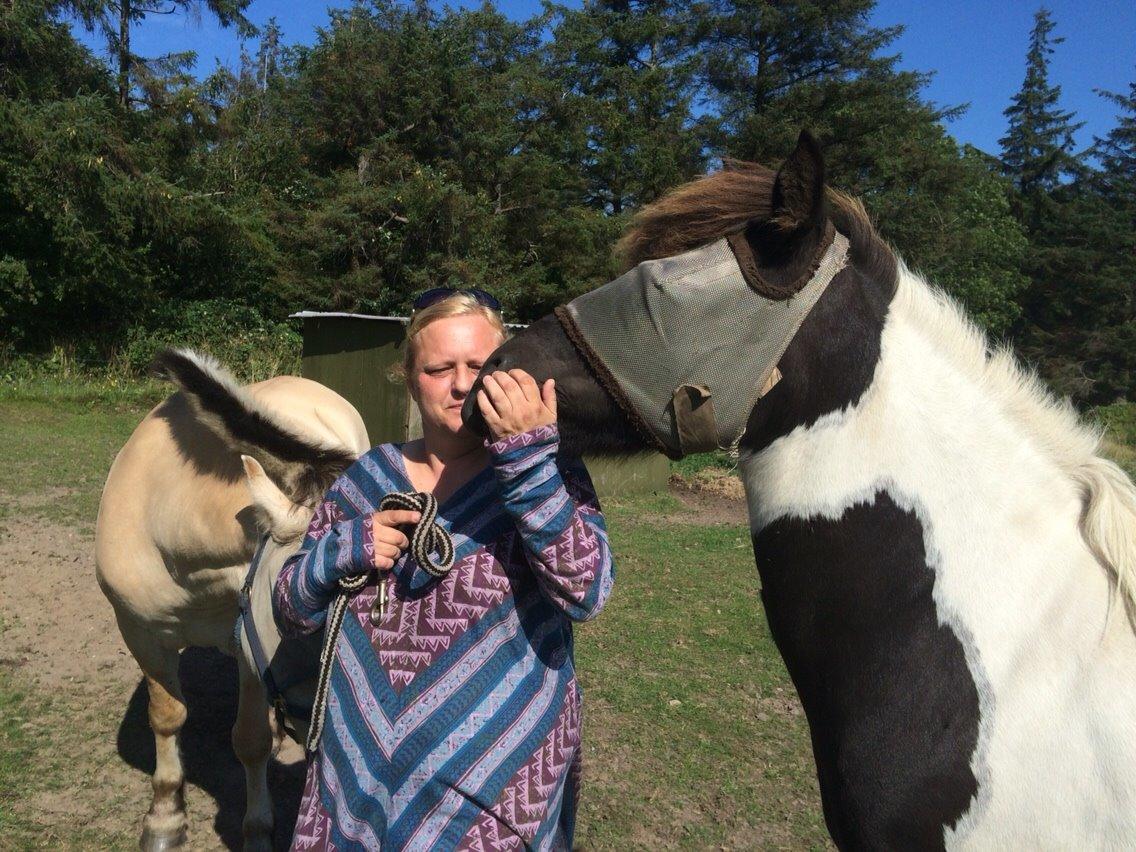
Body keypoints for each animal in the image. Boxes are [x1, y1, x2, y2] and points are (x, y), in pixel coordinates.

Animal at [95, 349, 368, 849]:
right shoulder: (139, 632)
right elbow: (166, 716)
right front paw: (165, 817)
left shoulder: (247, 646)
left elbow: (250, 740)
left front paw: (257, 830)